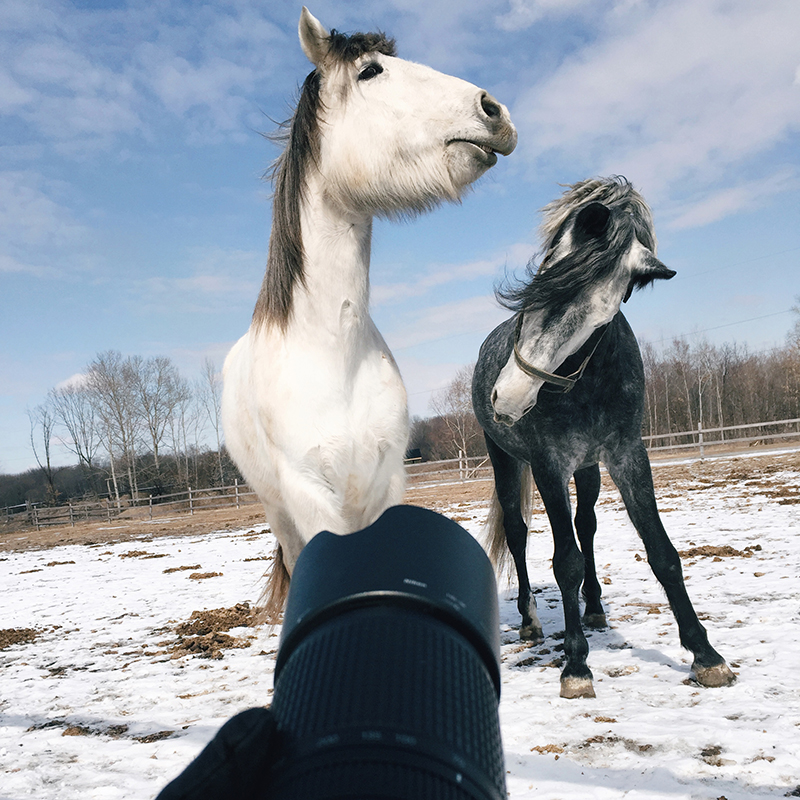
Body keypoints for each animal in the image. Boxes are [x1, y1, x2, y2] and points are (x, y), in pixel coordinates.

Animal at [222, 7, 516, 620]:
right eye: (370, 71)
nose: (493, 110)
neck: (334, 352)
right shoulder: (311, 499)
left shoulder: (386, 485)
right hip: (280, 514)